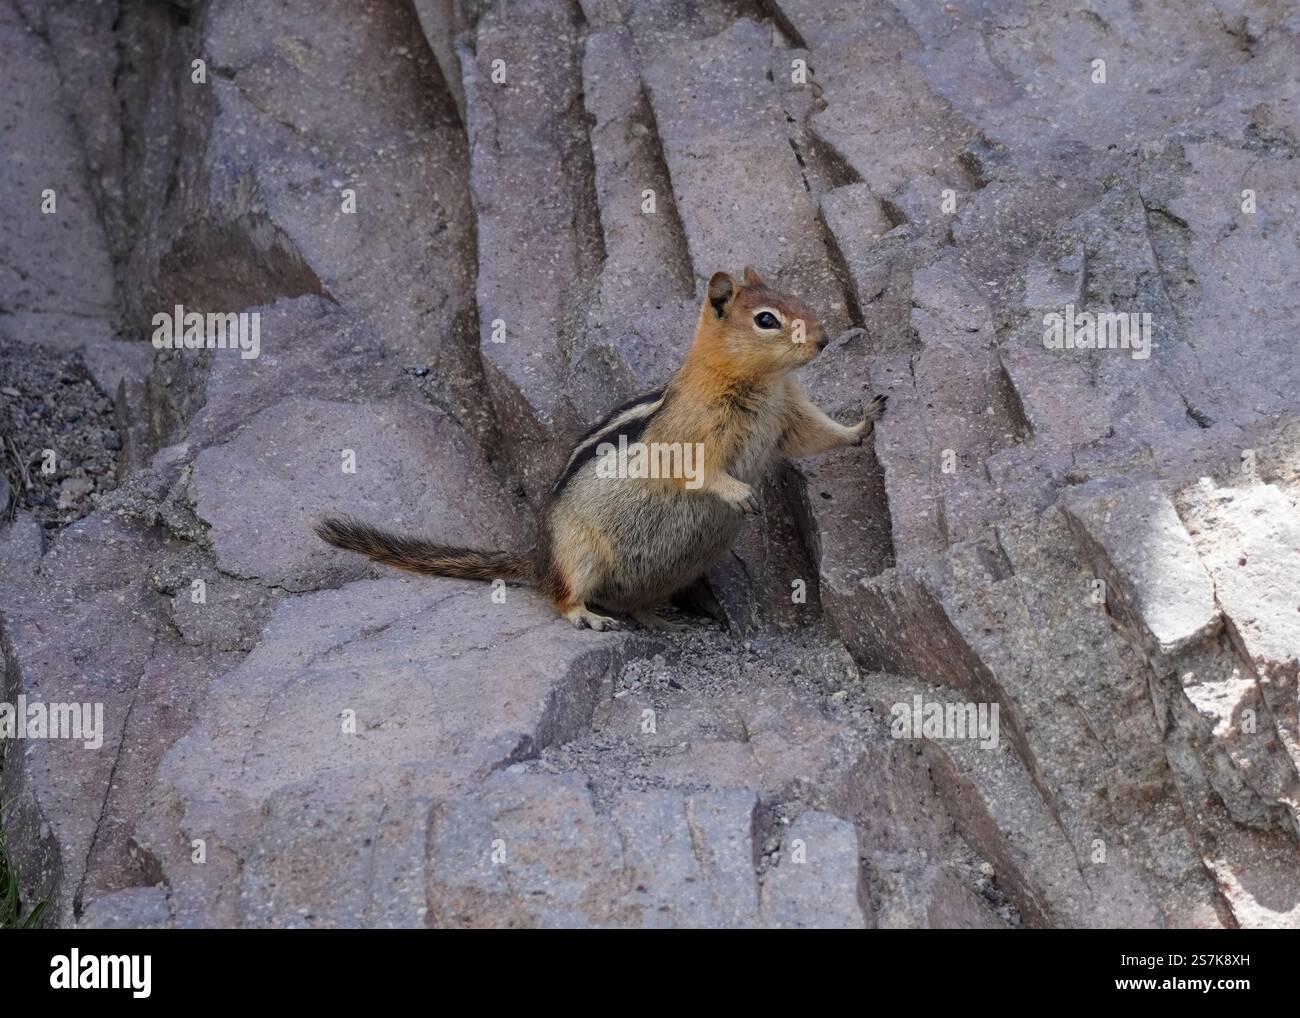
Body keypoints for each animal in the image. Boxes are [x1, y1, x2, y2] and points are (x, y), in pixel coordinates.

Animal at [316, 266, 886, 631]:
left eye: (799, 301)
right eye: (767, 319)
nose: (824, 339)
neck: (758, 385)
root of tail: (539, 557)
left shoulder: (789, 414)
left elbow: (818, 435)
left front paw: (864, 423)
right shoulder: (691, 434)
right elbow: (699, 470)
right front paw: (737, 491)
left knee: (636, 605)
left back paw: (666, 622)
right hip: (581, 554)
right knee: (561, 596)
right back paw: (587, 616)